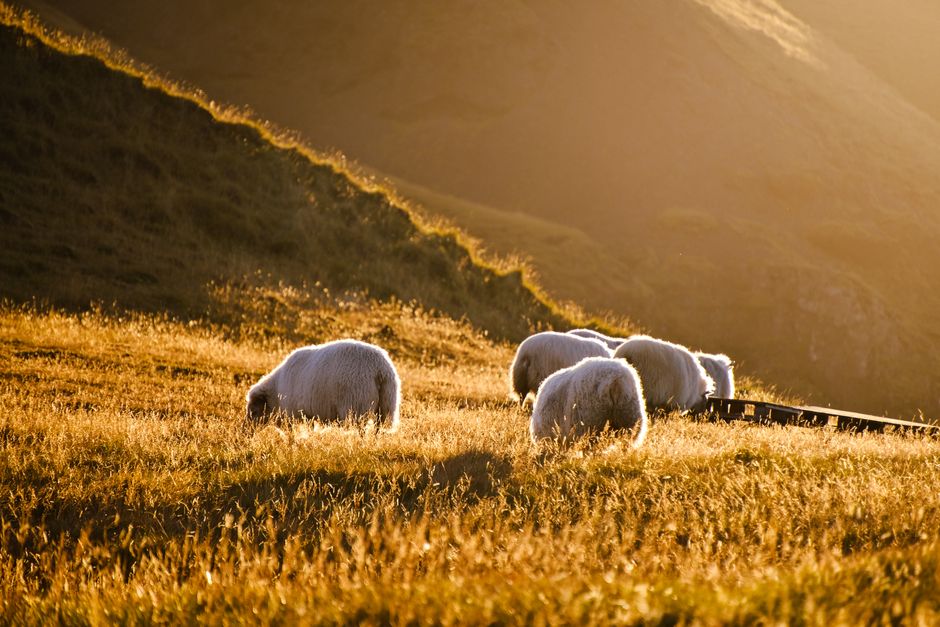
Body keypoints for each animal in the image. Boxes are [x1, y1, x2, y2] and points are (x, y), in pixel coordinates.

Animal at [246, 339, 401, 429]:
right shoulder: (308, 415)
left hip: (356, 405)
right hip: (387, 404)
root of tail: (379, 369)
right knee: (379, 428)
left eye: (254, 411)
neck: (276, 391)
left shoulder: (294, 413)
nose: (246, 432)